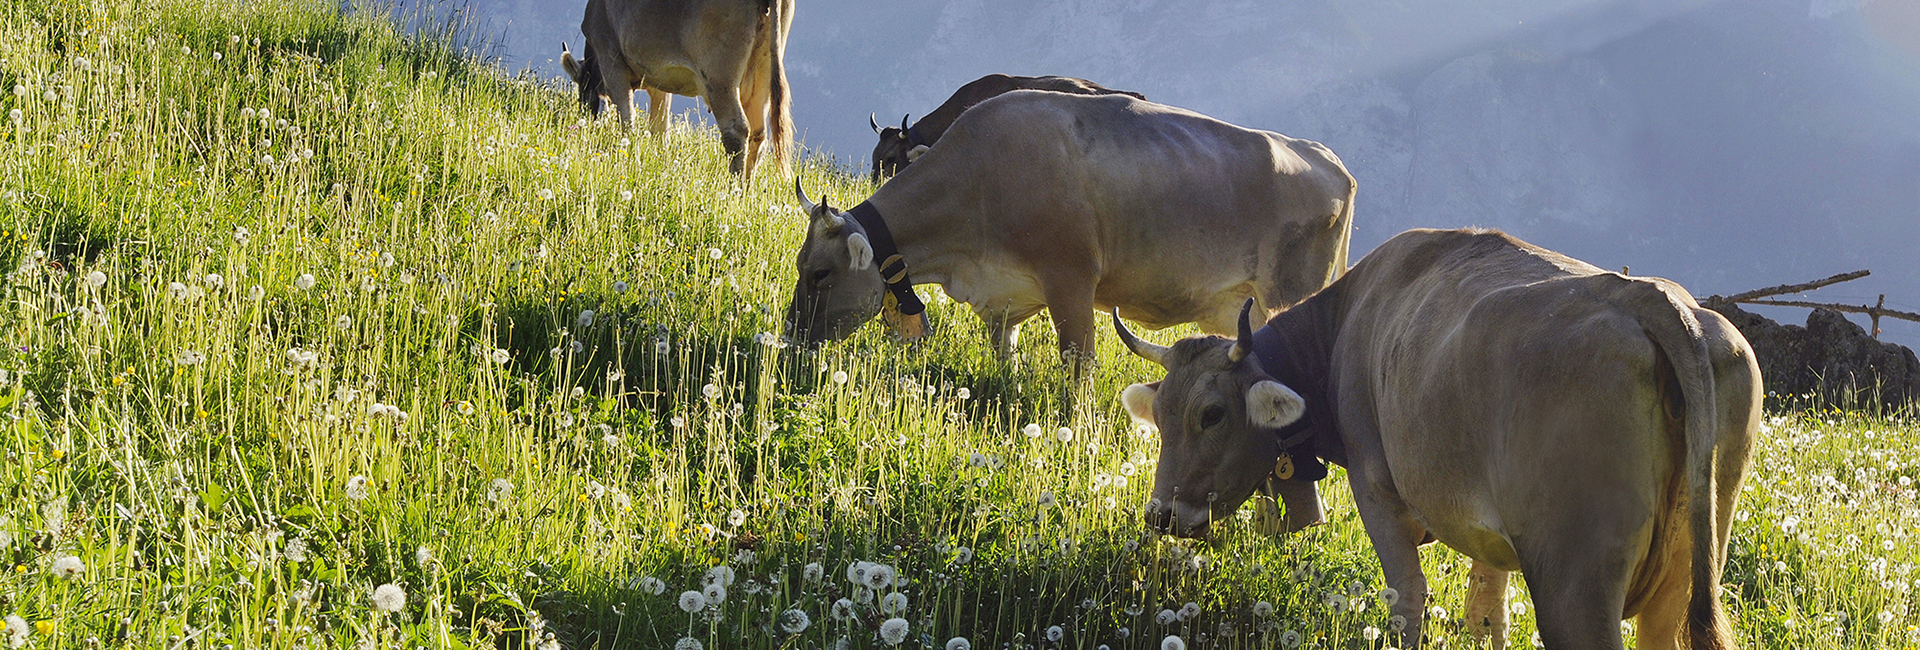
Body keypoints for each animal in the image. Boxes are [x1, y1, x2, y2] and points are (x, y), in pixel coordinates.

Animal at [560, 0, 791, 179]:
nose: (584, 119)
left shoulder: (610, 57)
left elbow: (628, 117)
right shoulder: (659, 80)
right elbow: (660, 127)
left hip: (720, 77)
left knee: (737, 130)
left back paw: (734, 188)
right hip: (762, 73)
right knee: (758, 135)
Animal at [779, 89, 1351, 379]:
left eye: (821, 273)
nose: (791, 337)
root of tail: (1326, 157)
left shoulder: (1071, 280)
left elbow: (1078, 370)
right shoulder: (1007, 297)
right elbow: (1004, 358)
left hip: (1289, 297)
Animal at [1113, 228, 1758, 650]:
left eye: (1212, 414)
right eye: (1161, 416)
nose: (1161, 514)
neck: (1348, 322)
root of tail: (1647, 296)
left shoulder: (1377, 492)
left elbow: (1408, 604)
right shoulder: (1492, 538)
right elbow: (1487, 614)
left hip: (1575, 584)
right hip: (1683, 573)